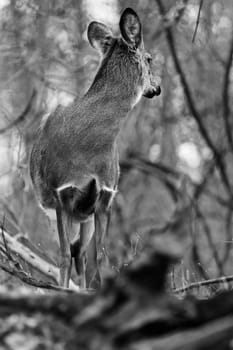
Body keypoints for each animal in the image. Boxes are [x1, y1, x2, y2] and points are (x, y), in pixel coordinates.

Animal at [29, 8, 160, 288]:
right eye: (150, 58)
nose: (157, 87)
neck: (88, 144)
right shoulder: (62, 194)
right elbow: (63, 257)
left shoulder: (106, 195)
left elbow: (102, 257)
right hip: (65, 210)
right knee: (72, 253)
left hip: (86, 216)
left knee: (81, 254)